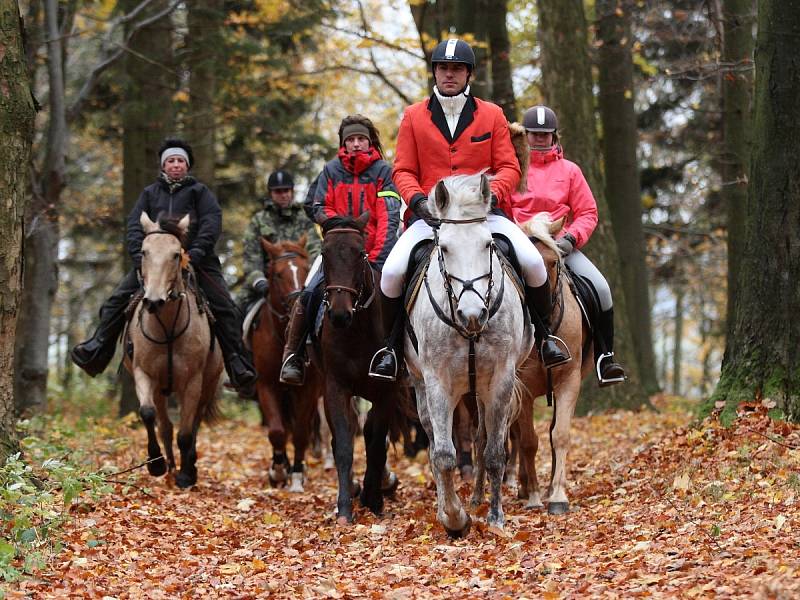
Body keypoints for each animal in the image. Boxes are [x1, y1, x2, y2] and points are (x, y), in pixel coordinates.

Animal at [125, 213, 225, 490]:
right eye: (144, 252)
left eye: (176, 255)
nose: (153, 301)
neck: (168, 328)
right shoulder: (143, 373)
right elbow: (148, 415)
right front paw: (157, 464)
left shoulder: (192, 383)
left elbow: (186, 433)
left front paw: (186, 475)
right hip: (161, 389)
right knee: (165, 426)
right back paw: (169, 465)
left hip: (207, 386)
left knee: (195, 424)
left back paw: (188, 466)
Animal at [252, 236, 324, 492]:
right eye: (277, 274)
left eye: (306, 269)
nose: (296, 307)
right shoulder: (265, 385)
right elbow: (276, 431)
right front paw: (278, 471)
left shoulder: (309, 389)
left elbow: (301, 434)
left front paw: (297, 476)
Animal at [314, 213, 406, 524]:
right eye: (324, 253)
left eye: (360, 253)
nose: (339, 314)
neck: (355, 333)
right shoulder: (335, 387)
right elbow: (343, 444)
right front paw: (344, 508)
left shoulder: (386, 392)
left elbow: (376, 444)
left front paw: (374, 499)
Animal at [406, 175, 532, 540]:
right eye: (444, 248)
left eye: (488, 244)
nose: (473, 314)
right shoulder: (437, 382)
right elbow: (443, 455)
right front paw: (454, 518)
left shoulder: (501, 379)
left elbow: (494, 453)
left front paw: (495, 517)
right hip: (421, 384)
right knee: (437, 444)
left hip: (483, 389)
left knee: (483, 438)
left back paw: (477, 499)